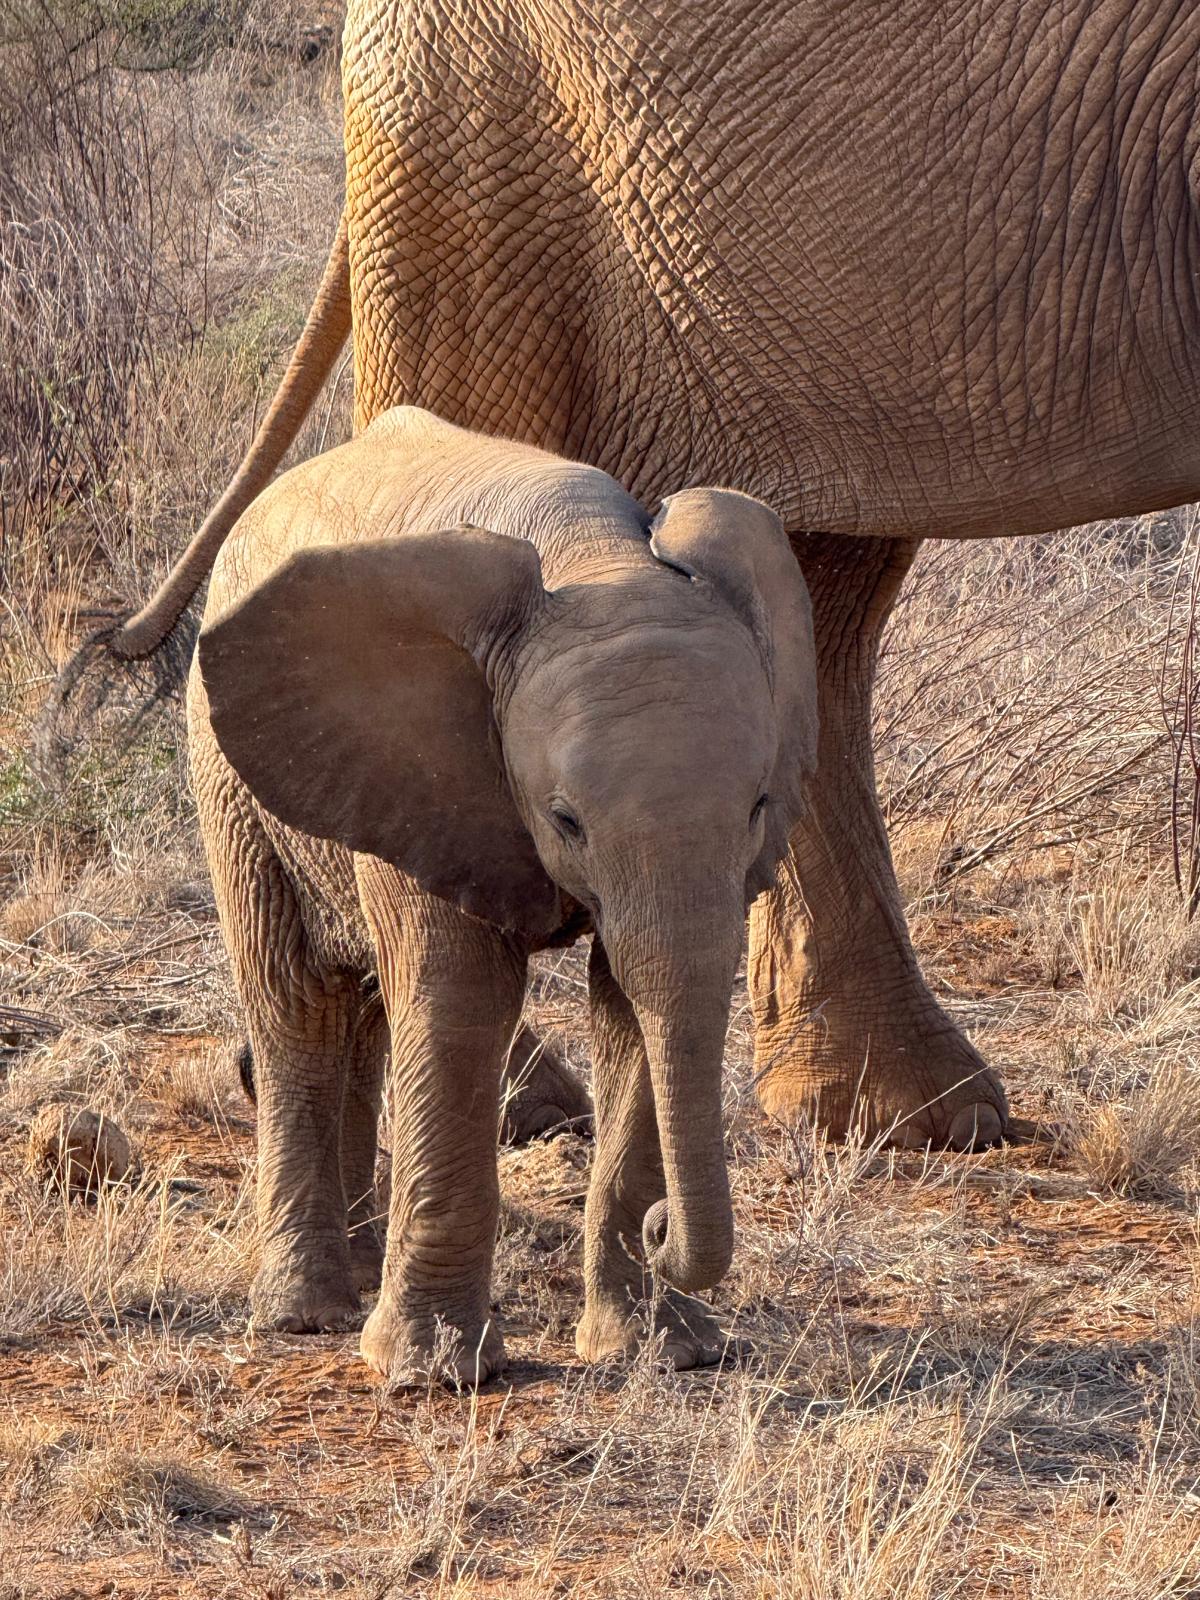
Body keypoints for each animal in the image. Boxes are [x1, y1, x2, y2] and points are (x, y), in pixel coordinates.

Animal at [189, 404, 817, 1378]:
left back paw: (361, 1275)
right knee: (297, 1003)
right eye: (565, 820)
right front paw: (431, 1375)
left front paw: (661, 1354)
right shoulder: (429, 764)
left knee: (363, 1012)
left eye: (756, 807)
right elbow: (461, 1000)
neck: (594, 556)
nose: (663, 1226)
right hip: (225, 772)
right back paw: (308, 1316)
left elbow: (629, 1004)